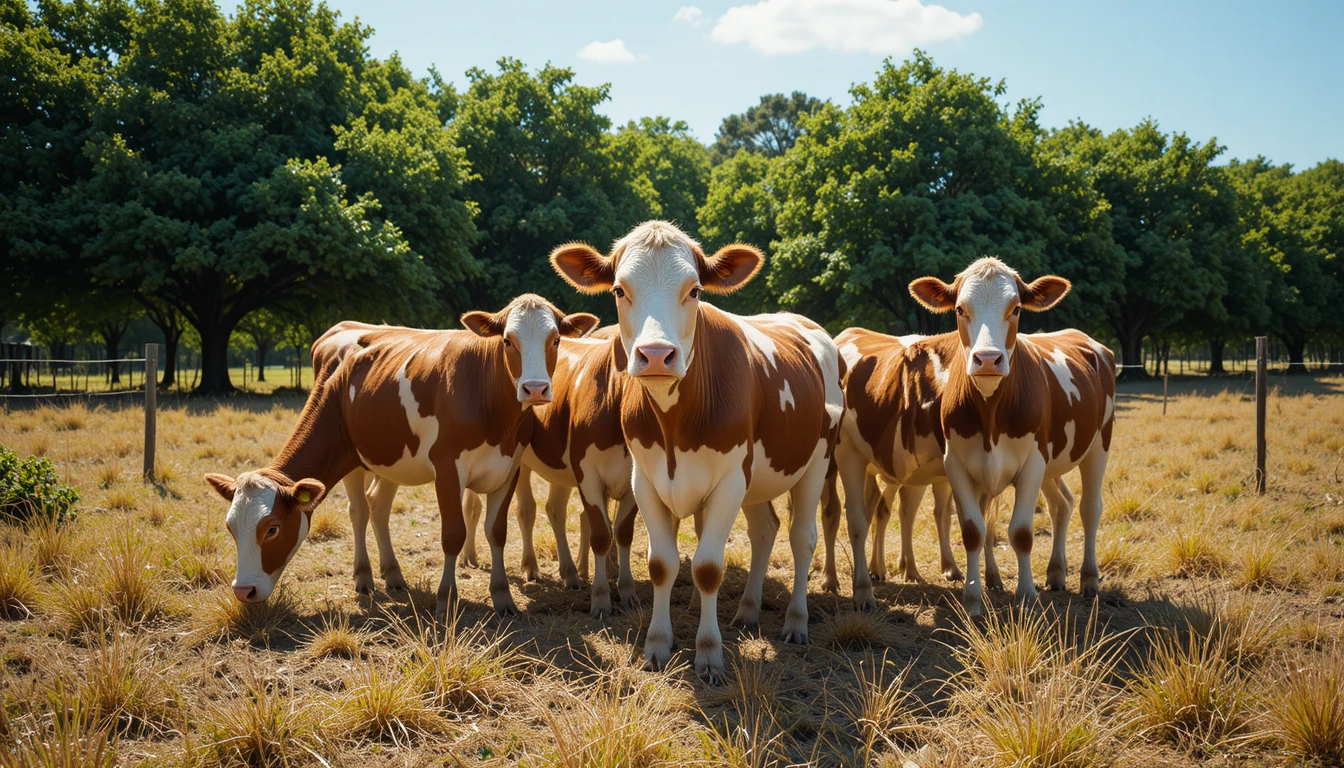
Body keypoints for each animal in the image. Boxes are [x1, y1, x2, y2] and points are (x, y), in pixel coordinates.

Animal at [202, 296, 600, 619]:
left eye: (556, 340)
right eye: (507, 340)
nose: (244, 590)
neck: (487, 396)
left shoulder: (510, 466)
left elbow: (496, 531)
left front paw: (502, 598)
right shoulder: (446, 468)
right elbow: (452, 534)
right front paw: (446, 599)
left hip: (388, 457)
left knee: (377, 506)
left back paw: (392, 574)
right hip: (357, 456)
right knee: (359, 511)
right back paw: (364, 576)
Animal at [551, 221, 844, 681]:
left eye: (694, 290)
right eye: (619, 289)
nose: (656, 355)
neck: (675, 423)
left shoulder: (730, 480)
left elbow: (707, 568)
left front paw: (708, 651)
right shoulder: (645, 479)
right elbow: (662, 563)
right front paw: (657, 644)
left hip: (816, 461)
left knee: (802, 537)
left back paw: (797, 621)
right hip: (759, 480)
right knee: (765, 530)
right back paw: (747, 611)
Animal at [820, 329, 962, 610]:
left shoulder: (929, 473)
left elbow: (933, 513)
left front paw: (939, 568)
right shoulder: (849, 454)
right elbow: (856, 519)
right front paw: (863, 590)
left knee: (879, 507)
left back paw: (879, 568)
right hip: (832, 465)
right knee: (831, 511)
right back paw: (831, 577)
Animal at [908, 257, 1116, 615]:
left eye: (1016, 308)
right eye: (960, 309)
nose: (988, 359)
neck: (991, 413)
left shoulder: (1032, 463)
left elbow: (1021, 533)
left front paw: (1027, 596)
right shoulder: (957, 464)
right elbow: (973, 530)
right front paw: (973, 599)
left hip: (1099, 444)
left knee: (1090, 507)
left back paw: (1089, 578)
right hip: (1051, 462)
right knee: (1062, 503)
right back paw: (1056, 572)